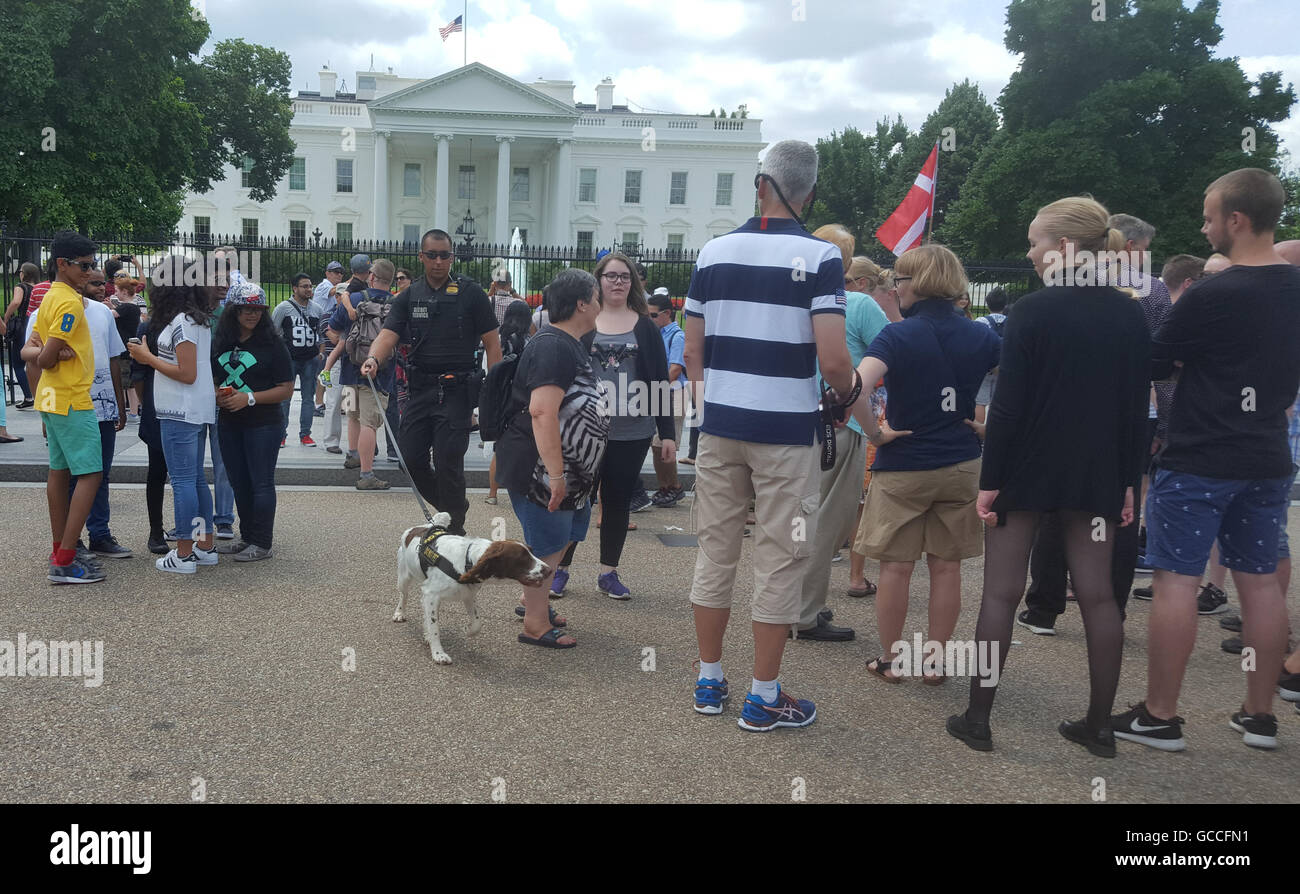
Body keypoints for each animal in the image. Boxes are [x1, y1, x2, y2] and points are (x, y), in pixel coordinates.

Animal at [387, 509, 546, 662]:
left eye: (532, 551)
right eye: (522, 559)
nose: (548, 569)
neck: (466, 561)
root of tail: (422, 527)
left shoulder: (468, 594)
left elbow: (477, 622)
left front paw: (467, 630)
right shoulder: (431, 594)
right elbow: (434, 627)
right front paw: (438, 654)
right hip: (404, 577)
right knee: (404, 595)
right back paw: (399, 613)